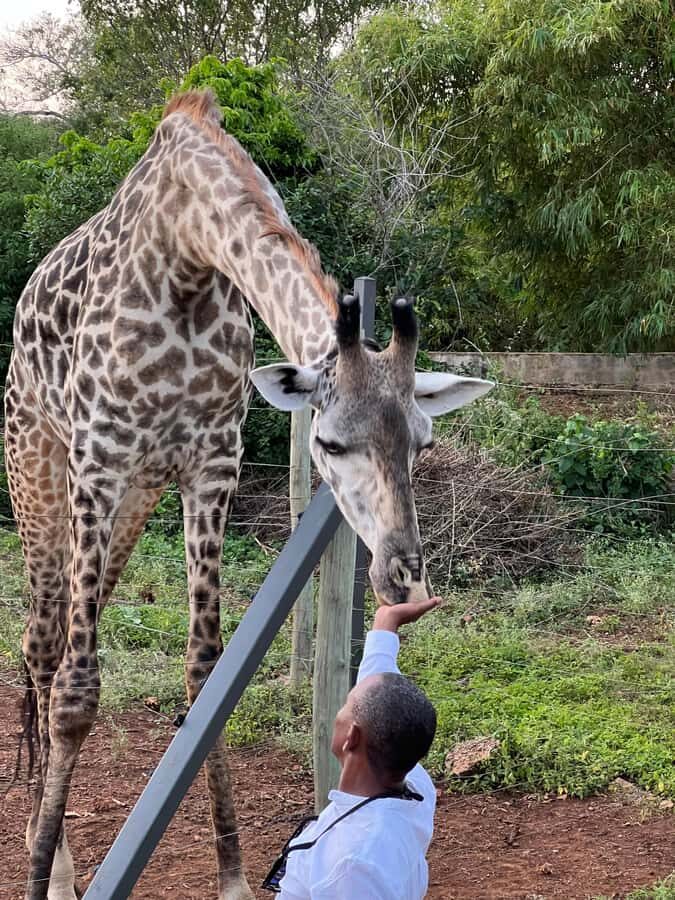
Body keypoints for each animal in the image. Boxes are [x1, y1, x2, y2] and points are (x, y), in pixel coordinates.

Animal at [4, 88, 493, 900]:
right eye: (329, 444)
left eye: (422, 443)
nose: (404, 575)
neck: (185, 251)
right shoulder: (101, 457)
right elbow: (79, 689)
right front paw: (44, 874)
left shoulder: (210, 462)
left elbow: (206, 673)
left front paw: (232, 875)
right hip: (42, 470)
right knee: (45, 650)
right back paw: (59, 867)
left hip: (135, 497)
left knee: (70, 623)